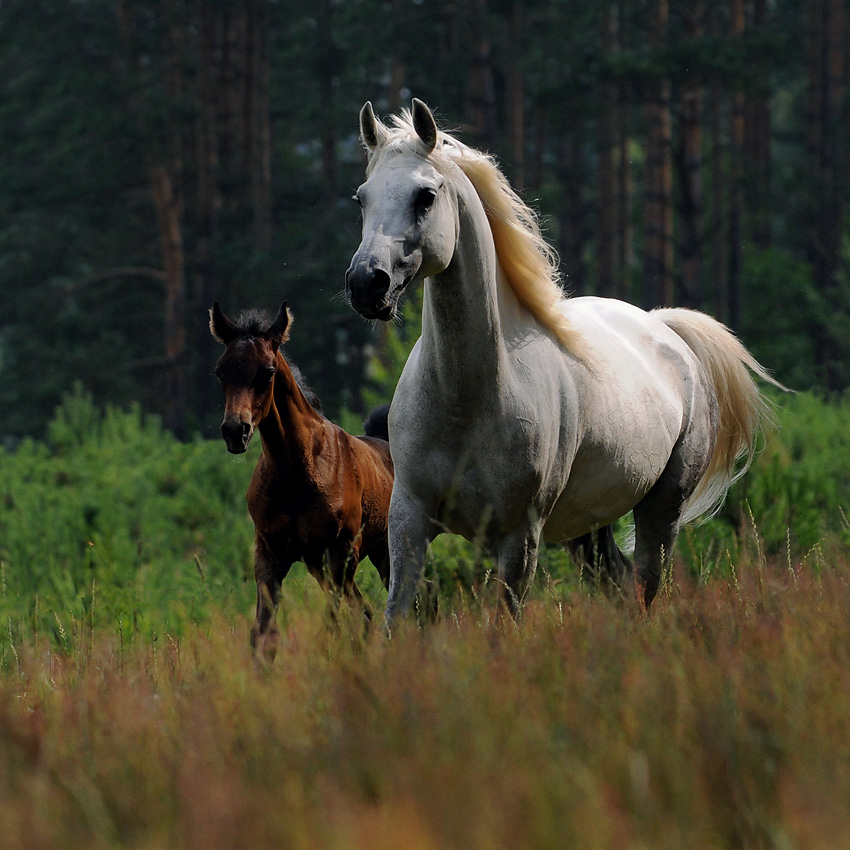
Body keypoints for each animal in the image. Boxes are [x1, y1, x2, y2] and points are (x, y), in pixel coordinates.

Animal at [209, 300, 394, 664]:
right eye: (220, 371)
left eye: (268, 371)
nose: (235, 431)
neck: (295, 473)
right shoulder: (271, 554)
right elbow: (264, 635)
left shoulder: (339, 552)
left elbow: (334, 626)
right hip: (329, 563)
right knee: (366, 613)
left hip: (381, 552)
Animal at [342, 97, 776, 624]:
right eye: (361, 198)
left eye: (425, 196)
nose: (367, 283)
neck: (468, 398)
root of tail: (667, 330)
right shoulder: (408, 520)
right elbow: (397, 617)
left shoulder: (518, 537)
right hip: (590, 527)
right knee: (619, 585)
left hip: (660, 511)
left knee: (645, 589)